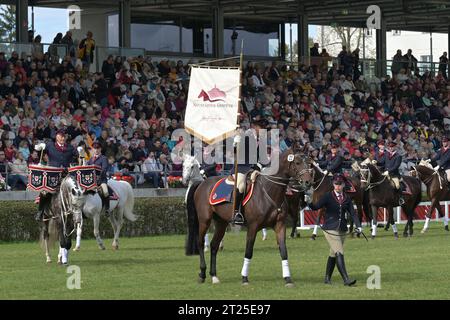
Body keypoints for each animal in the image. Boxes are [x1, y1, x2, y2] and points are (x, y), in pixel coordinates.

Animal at [185, 149, 312, 286]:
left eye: (308, 162)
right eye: (298, 163)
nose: (308, 182)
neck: (269, 191)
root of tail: (202, 183)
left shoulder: (279, 226)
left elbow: (283, 251)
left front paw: (288, 278)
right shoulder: (253, 226)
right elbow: (249, 251)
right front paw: (244, 278)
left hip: (221, 223)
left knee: (214, 246)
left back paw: (214, 276)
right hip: (205, 220)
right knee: (200, 243)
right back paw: (202, 274)